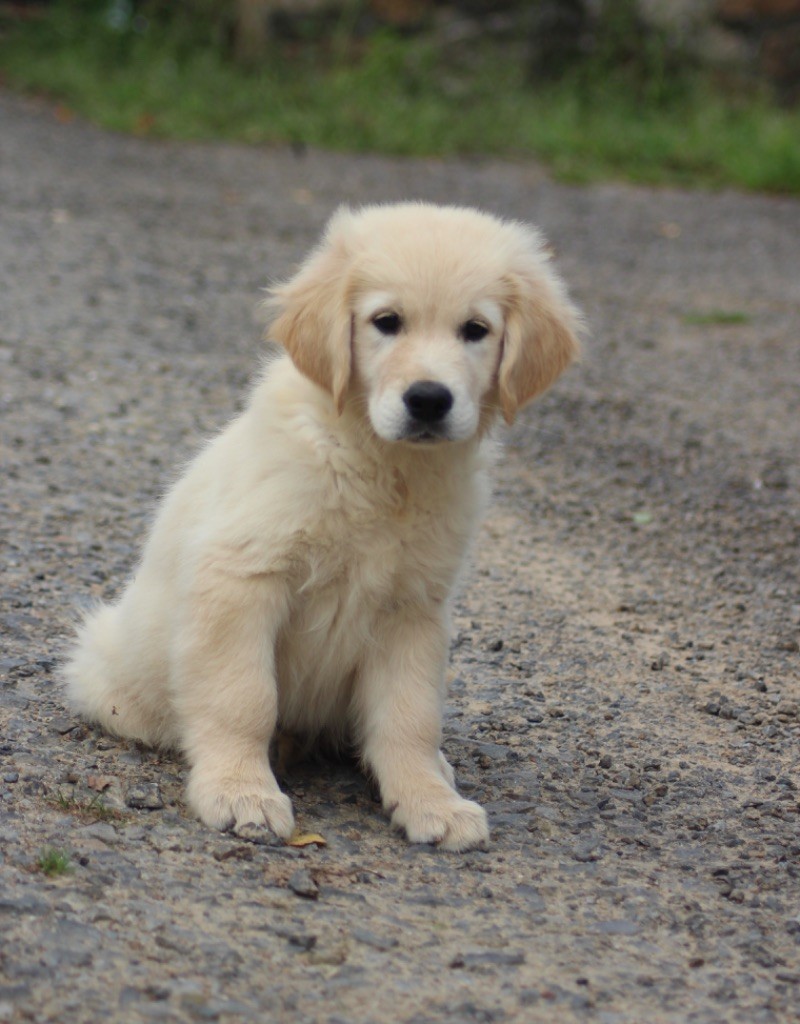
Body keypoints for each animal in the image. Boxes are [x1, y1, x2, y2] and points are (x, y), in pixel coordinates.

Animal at [65, 203, 581, 851]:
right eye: (386, 322)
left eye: (476, 330)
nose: (429, 400)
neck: (381, 466)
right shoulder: (240, 577)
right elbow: (243, 698)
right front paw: (241, 791)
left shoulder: (413, 607)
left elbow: (410, 717)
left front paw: (428, 801)